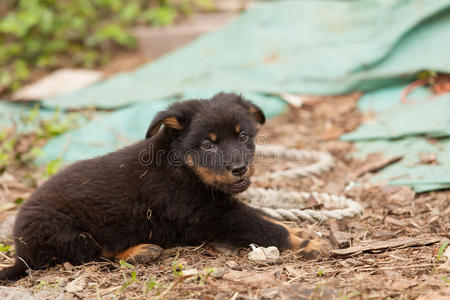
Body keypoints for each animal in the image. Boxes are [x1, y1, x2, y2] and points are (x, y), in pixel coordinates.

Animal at [0, 92, 330, 280]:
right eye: (208, 144)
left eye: (243, 136)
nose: (239, 169)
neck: (180, 167)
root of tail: (21, 252)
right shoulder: (209, 215)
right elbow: (262, 226)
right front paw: (307, 243)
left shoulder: (222, 205)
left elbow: (264, 215)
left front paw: (301, 230)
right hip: (62, 229)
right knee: (96, 254)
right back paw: (138, 252)